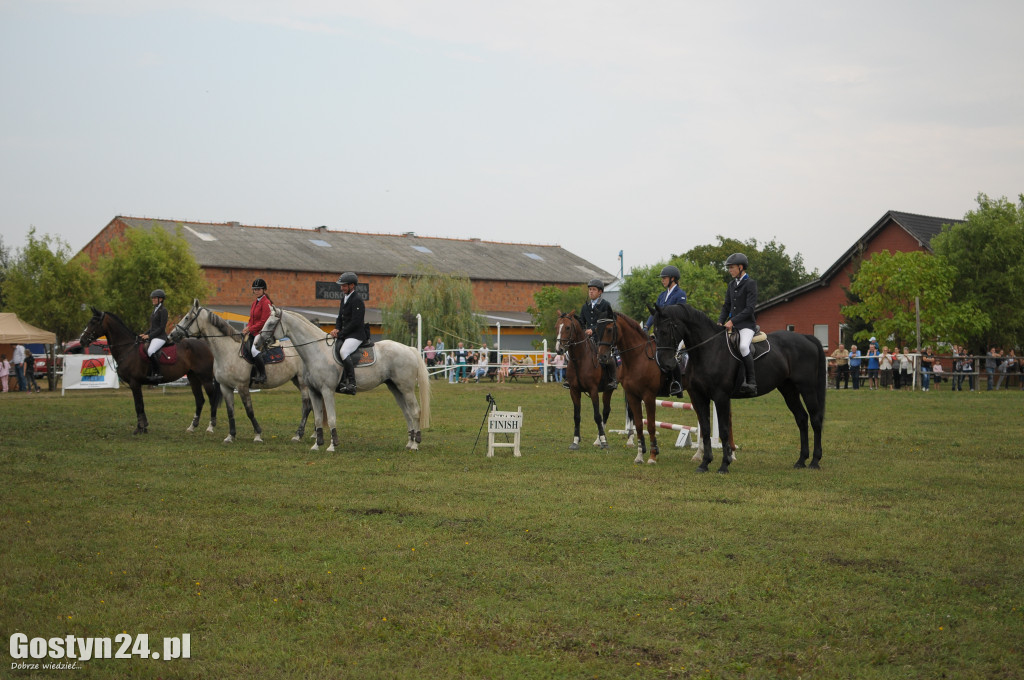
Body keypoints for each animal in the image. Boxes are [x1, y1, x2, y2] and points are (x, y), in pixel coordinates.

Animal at [80, 307, 222, 436]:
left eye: (93, 322)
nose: (82, 340)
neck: (128, 348)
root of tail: (206, 345)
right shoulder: (136, 384)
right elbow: (141, 405)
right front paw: (144, 427)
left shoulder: (134, 383)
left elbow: (138, 405)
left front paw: (139, 428)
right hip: (193, 378)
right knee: (199, 400)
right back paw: (192, 427)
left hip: (206, 378)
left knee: (211, 399)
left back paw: (211, 427)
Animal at [169, 301, 313, 444]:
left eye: (187, 317)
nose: (171, 335)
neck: (228, 351)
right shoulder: (225, 387)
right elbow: (230, 411)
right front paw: (230, 436)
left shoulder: (242, 386)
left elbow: (249, 411)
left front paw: (257, 435)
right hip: (297, 380)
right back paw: (313, 435)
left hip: (303, 382)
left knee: (306, 407)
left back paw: (298, 435)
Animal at [260, 307, 432, 450]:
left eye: (271, 323)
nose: (258, 343)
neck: (317, 351)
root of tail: (409, 348)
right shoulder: (314, 391)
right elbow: (318, 419)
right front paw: (316, 445)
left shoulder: (327, 391)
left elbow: (331, 419)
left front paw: (332, 446)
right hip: (395, 388)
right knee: (407, 413)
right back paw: (409, 442)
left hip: (406, 388)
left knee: (415, 411)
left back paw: (416, 444)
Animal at [598, 311, 733, 464]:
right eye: (598, 328)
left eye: (609, 329)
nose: (602, 357)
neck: (638, 357)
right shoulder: (633, 396)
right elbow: (639, 425)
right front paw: (639, 455)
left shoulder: (649, 397)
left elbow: (651, 425)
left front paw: (652, 455)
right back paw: (699, 454)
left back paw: (730, 454)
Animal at [651, 303, 827, 473]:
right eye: (655, 333)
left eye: (665, 332)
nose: (665, 364)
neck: (709, 349)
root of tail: (806, 337)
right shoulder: (698, 396)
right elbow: (706, 429)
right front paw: (704, 463)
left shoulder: (721, 396)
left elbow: (723, 430)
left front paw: (724, 465)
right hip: (788, 390)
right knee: (802, 419)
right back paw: (801, 461)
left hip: (807, 388)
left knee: (815, 419)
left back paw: (815, 461)